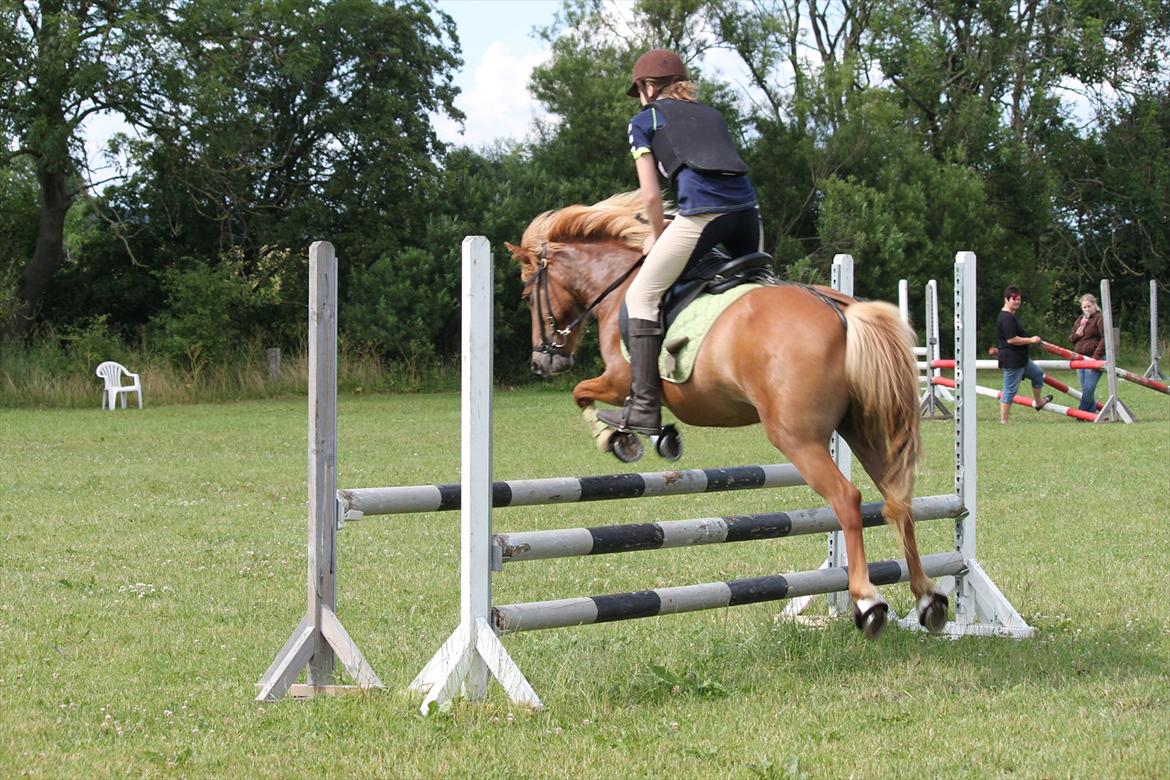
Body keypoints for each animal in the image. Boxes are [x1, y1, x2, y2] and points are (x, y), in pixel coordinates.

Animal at [505, 191, 950, 636]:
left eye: (527, 296)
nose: (543, 363)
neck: (620, 283)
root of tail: (842, 311)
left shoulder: (618, 378)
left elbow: (582, 394)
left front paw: (621, 438)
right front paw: (657, 436)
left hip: (797, 438)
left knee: (847, 498)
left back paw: (868, 600)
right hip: (861, 430)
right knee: (897, 498)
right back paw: (927, 597)